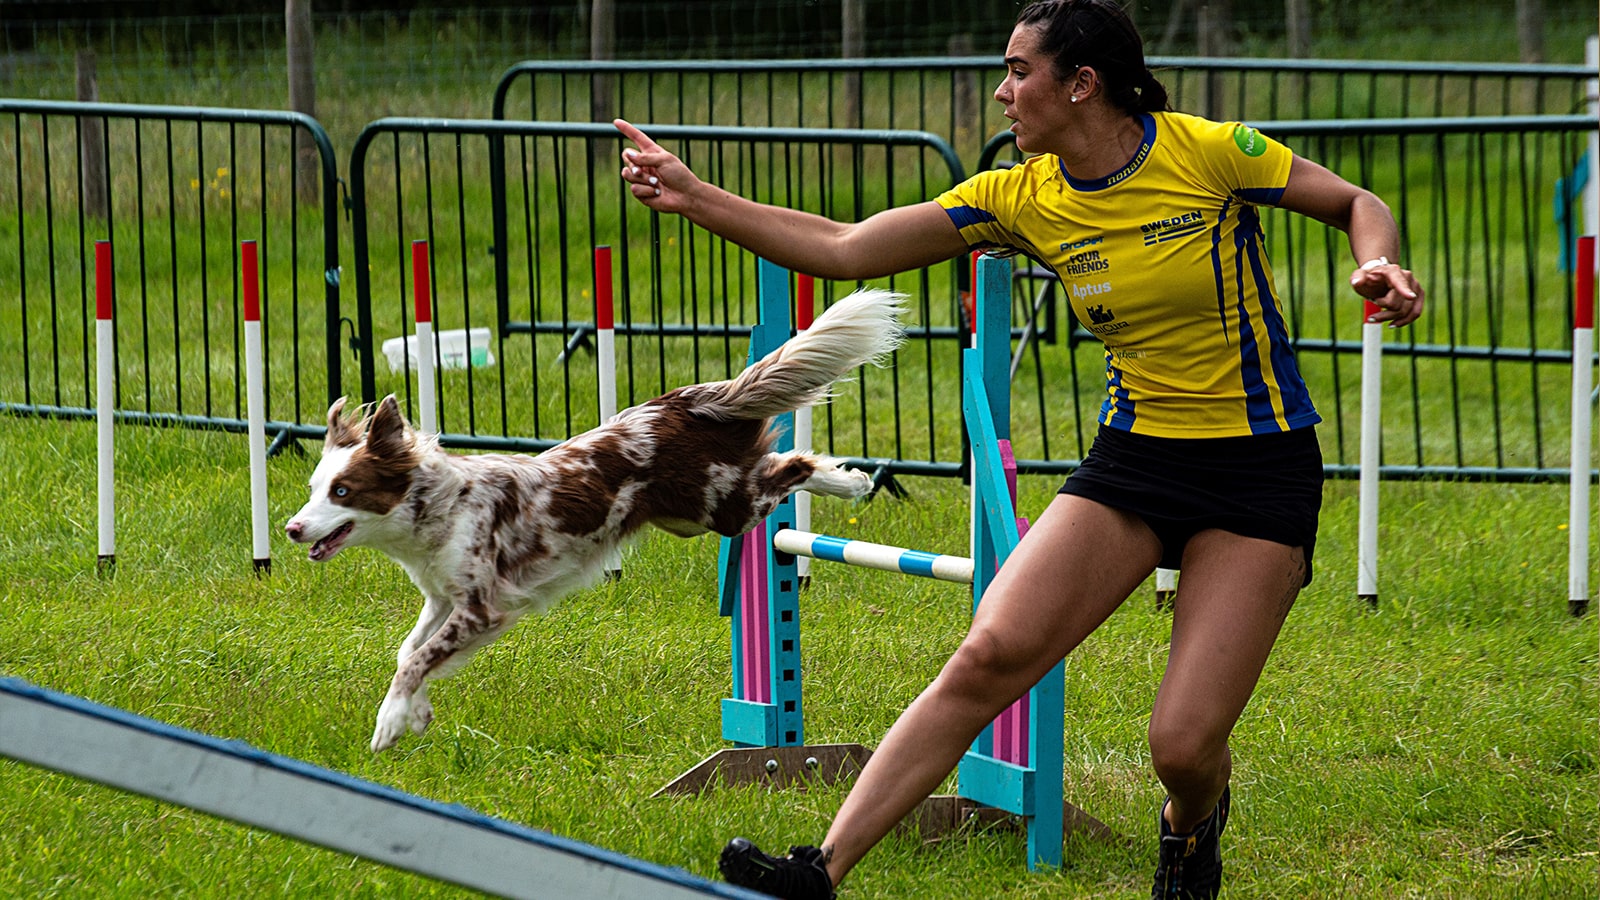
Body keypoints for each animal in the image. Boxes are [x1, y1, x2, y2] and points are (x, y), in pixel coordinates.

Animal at [286, 286, 908, 749]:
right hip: (691, 514)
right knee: (780, 462)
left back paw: (852, 482)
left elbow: (414, 660)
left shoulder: (482, 606)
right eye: (315, 489)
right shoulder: (443, 597)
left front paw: (390, 722)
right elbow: (408, 650)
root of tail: (680, 402)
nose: (292, 529)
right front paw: (416, 713)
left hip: (722, 508)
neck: (441, 505)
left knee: (792, 465)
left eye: (343, 491)